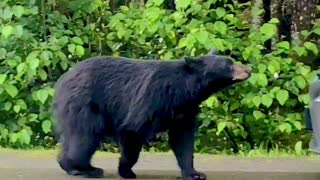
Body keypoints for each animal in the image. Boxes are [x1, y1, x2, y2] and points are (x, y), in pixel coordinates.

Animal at [52, 48, 251, 179]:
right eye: (229, 64)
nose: (249, 69)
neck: (183, 90)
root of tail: (62, 80)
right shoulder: (153, 97)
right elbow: (133, 129)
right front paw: (126, 171)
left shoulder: (185, 110)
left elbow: (183, 140)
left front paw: (194, 173)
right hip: (84, 104)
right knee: (84, 138)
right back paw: (84, 169)